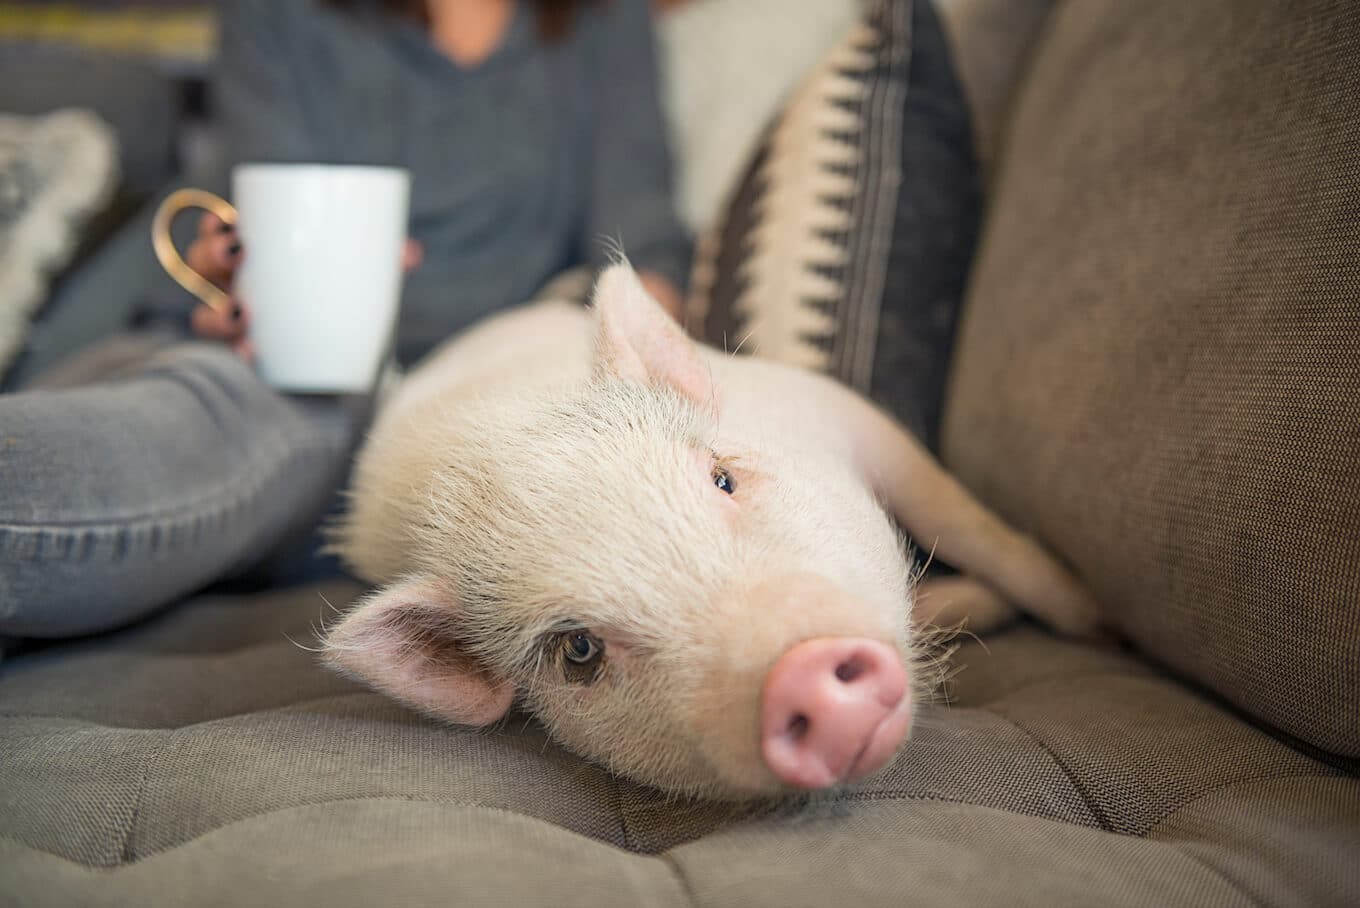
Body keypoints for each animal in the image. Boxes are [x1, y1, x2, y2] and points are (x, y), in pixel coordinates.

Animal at [323, 258, 1098, 799]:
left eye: (722, 477)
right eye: (579, 651)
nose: (803, 676)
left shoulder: (851, 417)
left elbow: (963, 520)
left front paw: (1087, 615)